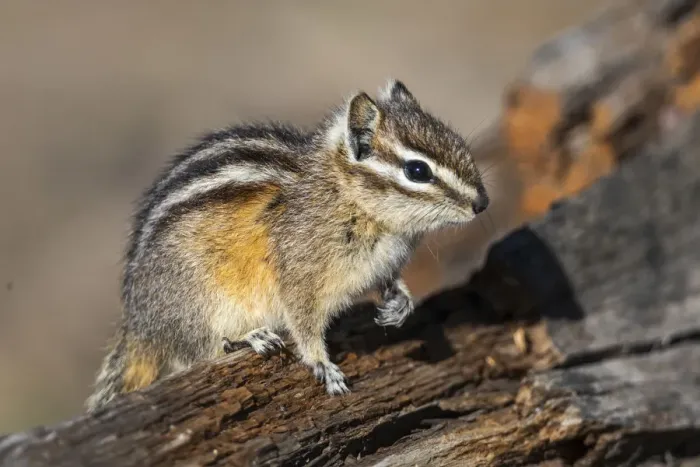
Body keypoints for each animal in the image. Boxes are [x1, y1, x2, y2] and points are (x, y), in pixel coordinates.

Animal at [85, 80, 489, 411]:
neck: (345, 195)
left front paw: (400, 303)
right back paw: (248, 338)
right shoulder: (299, 274)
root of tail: (139, 325)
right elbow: (303, 323)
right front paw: (322, 364)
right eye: (417, 171)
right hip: (197, 301)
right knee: (197, 352)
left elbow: (389, 281)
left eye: (455, 138)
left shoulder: (383, 261)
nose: (482, 203)